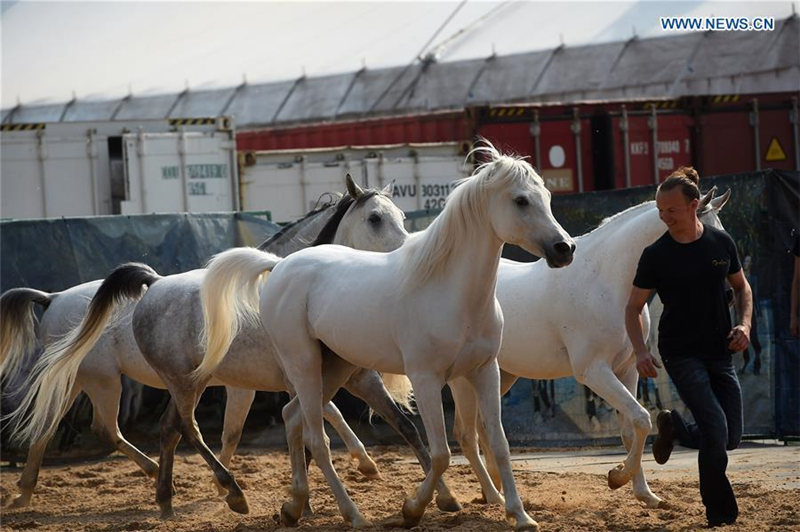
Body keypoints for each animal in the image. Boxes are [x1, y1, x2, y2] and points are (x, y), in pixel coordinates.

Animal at [1, 179, 432, 516]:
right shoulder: (292, 382)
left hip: (90, 382)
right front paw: (304, 496)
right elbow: (313, 427)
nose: (409, 253)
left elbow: (403, 425)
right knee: (150, 429)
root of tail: (52, 298)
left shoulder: (351, 379)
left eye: (401, 216)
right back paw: (218, 489)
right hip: (120, 383)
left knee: (58, 426)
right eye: (375, 218)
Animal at [198, 143, 576, 528]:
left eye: (546, 196)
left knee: (292, 419)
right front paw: (413, 509)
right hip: (304, 366)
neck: (450, 291)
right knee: (316, 439)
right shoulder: (426, 379)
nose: (565, 248)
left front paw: (520, 515)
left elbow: (498, 443)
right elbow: (440, 453)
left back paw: (294, 507)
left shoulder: (485, 371)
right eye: (521, 200)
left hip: (336, 369)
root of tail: (280, 266)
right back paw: (352, 514)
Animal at [450, 186, 732, 508]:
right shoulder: (594, 371)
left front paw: (645, 494)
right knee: (466, 435)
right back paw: (489, 497)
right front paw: (617, 477)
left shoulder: (627, 370)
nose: (729, 295)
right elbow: (642, 418)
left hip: (501, 376)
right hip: (464, 379)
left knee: (484, 429)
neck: (606, 280)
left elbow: (631, 429)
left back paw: (493, 492)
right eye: (703, 245)